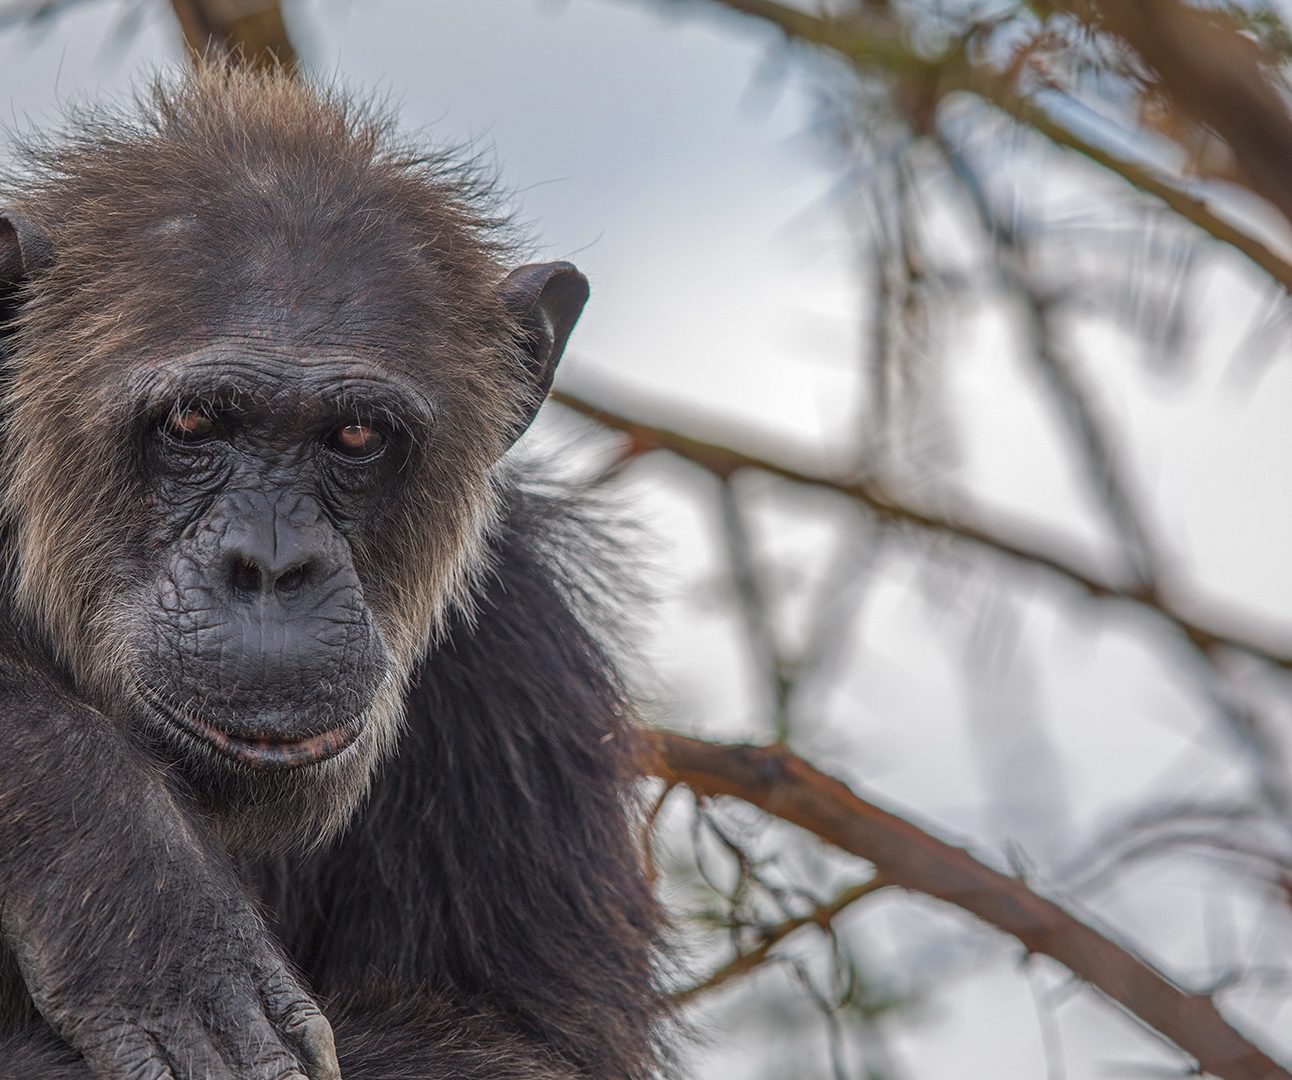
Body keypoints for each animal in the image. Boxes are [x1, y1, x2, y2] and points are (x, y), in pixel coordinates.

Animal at [0, 65, 671, 1079]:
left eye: (357, 437)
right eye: (193, 422)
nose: (273, 565)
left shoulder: (526, 669)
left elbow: (521, 1044)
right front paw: (130, 880)